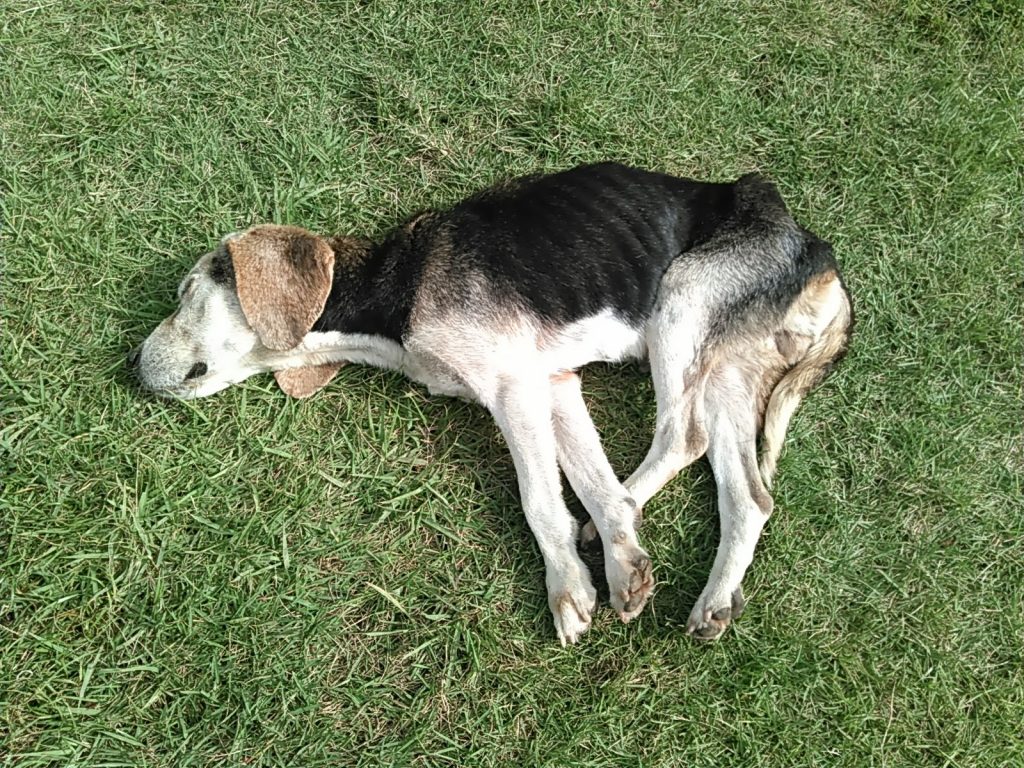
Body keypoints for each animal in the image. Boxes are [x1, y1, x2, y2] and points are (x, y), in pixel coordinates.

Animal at [132, 163, 851, 651]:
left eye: (186, 292)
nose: (133, 365)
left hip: (680, 302)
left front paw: (569, 588)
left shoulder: (512, 387)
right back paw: (711, 597)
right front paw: (623, 566)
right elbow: (594, 487)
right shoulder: (553, 382)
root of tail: (811, 244)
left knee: (684, 435)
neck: (387, 289)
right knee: (748, 495)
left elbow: (542, 501)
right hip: (728, 363)